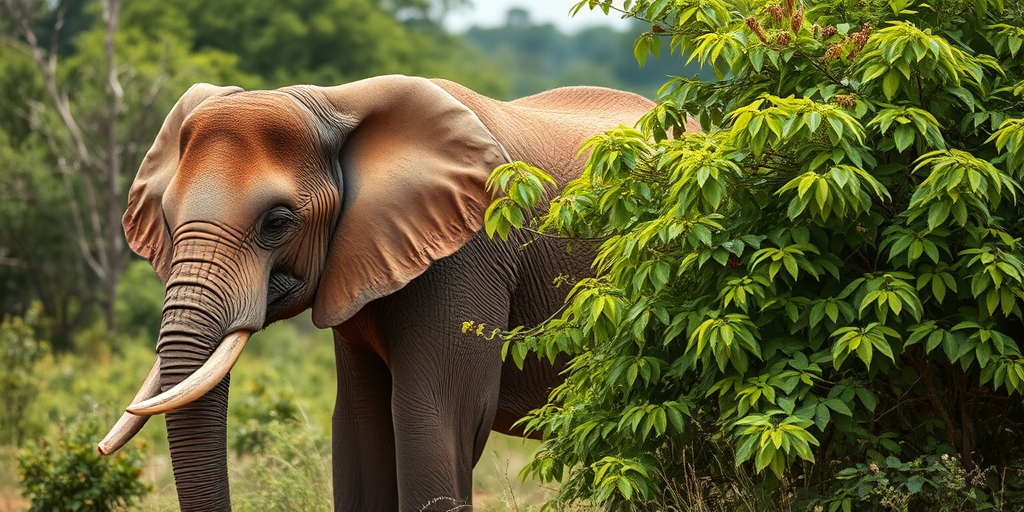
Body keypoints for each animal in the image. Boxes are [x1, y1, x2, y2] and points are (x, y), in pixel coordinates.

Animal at [96, 75, 657, 511]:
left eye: (276, 223)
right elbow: (359, 427)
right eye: (167, 219)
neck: (335, 102)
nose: (101, 447)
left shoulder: (468, 256)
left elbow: (436, 419)